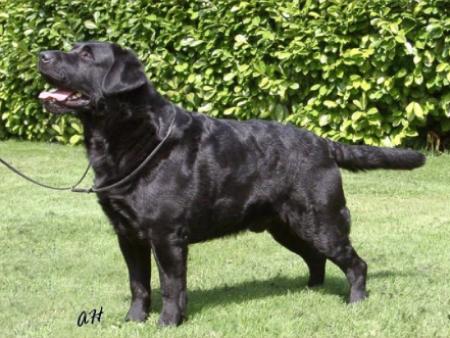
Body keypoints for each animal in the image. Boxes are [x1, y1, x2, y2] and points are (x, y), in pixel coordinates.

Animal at [37, 41, 426, 326]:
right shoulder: (127, 234)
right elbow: (138, 284)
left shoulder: (166, 235)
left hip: (322, 219)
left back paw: (355, 302)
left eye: (86, 55)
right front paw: (133, 321)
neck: (136, 136)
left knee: (355, 263)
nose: (42, 55)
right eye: (72, 48)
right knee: (316, 258)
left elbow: (171, 286)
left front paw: (168, 323)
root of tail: (322, 142)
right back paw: (310, 290)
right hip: (286, 226)